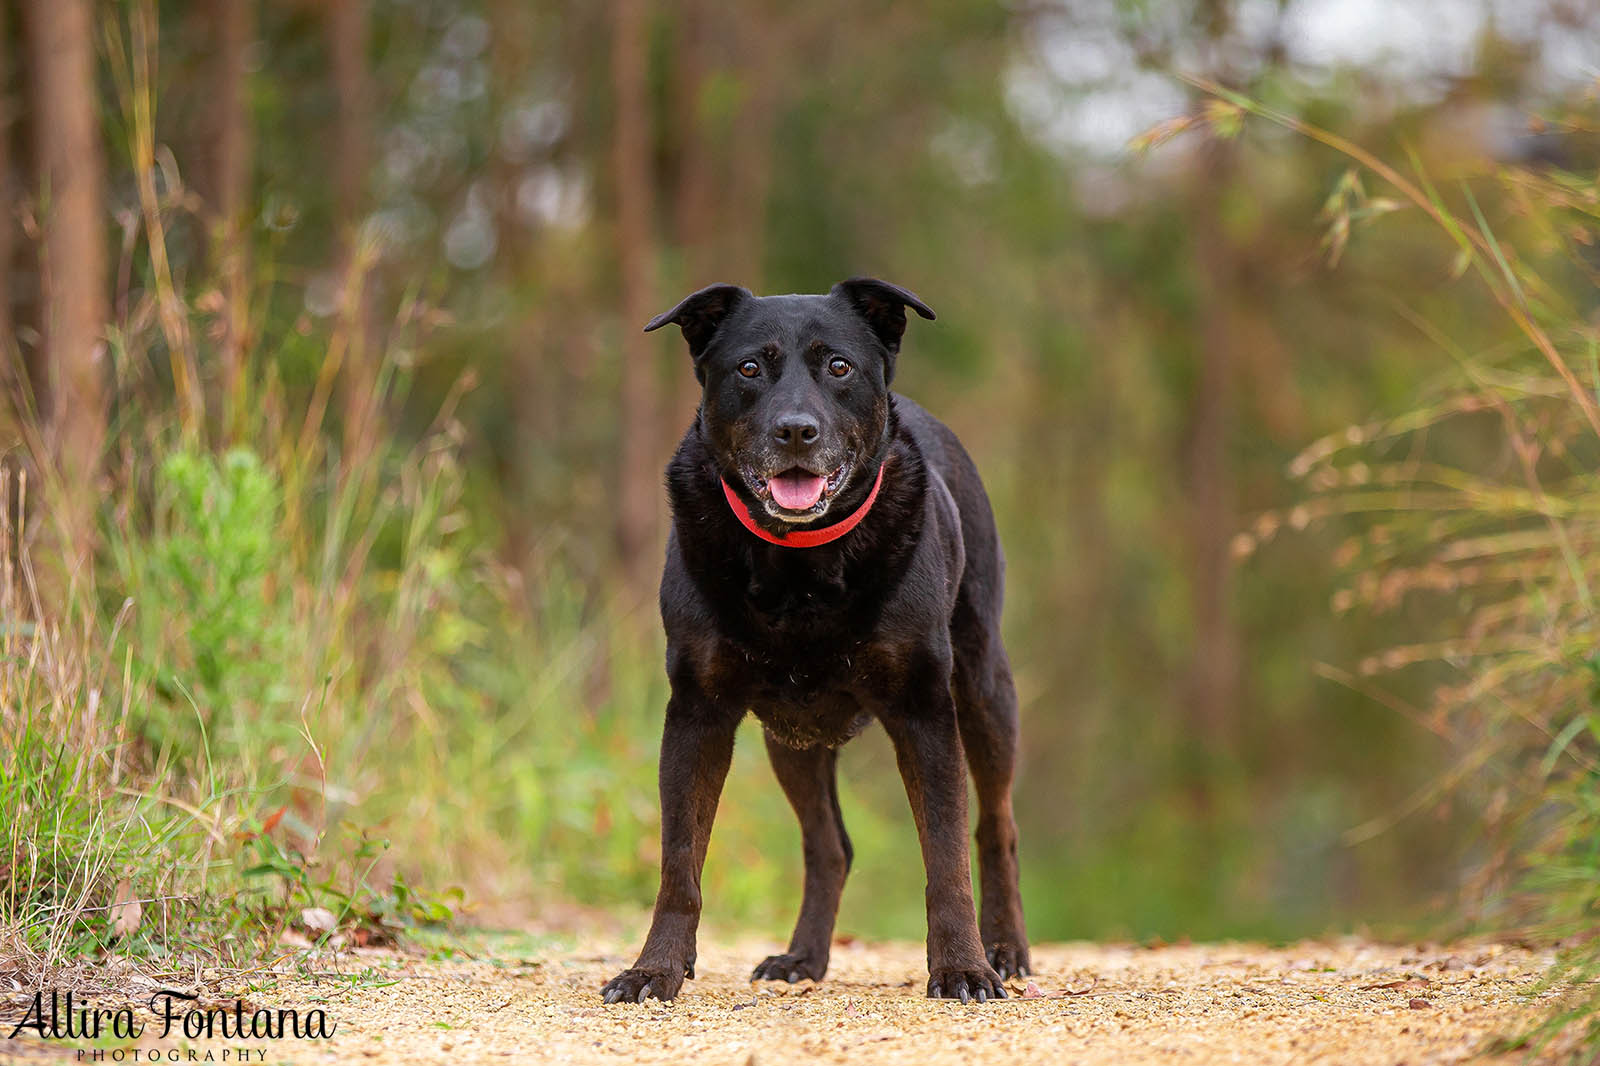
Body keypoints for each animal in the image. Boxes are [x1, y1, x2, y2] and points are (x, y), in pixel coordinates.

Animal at [598, 278, 1024, 998]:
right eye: (748, 368)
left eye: (839, 367)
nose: (796, 430)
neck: (799, 568)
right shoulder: (696, 713)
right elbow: (680, 862)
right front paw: (655, 969)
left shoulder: (924, 708)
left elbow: (945, 858)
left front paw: (963, 968)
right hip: (790, 740)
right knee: (830, 846)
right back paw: (802, 958)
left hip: (984, 687)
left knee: (997, 826)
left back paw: (1007, 949)